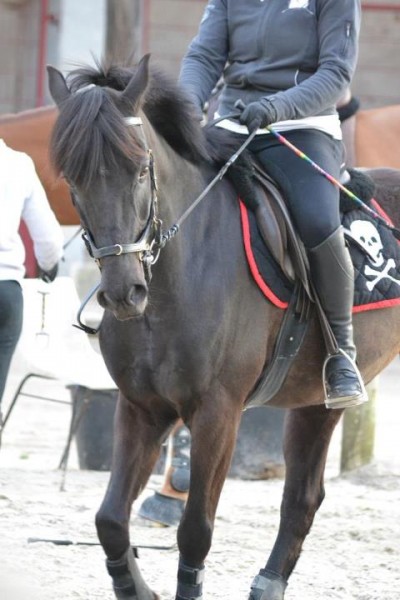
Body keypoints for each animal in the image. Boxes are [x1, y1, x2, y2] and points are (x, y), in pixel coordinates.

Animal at [46, 55, 400, 600]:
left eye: (140, 168)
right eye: (72, 178)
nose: (124, 292)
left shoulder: (218, 413)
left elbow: (195, 530)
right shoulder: (142, 407)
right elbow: (109, 520)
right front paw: (137, 587)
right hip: (313, 402)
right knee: (303, 496)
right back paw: (269, 583)